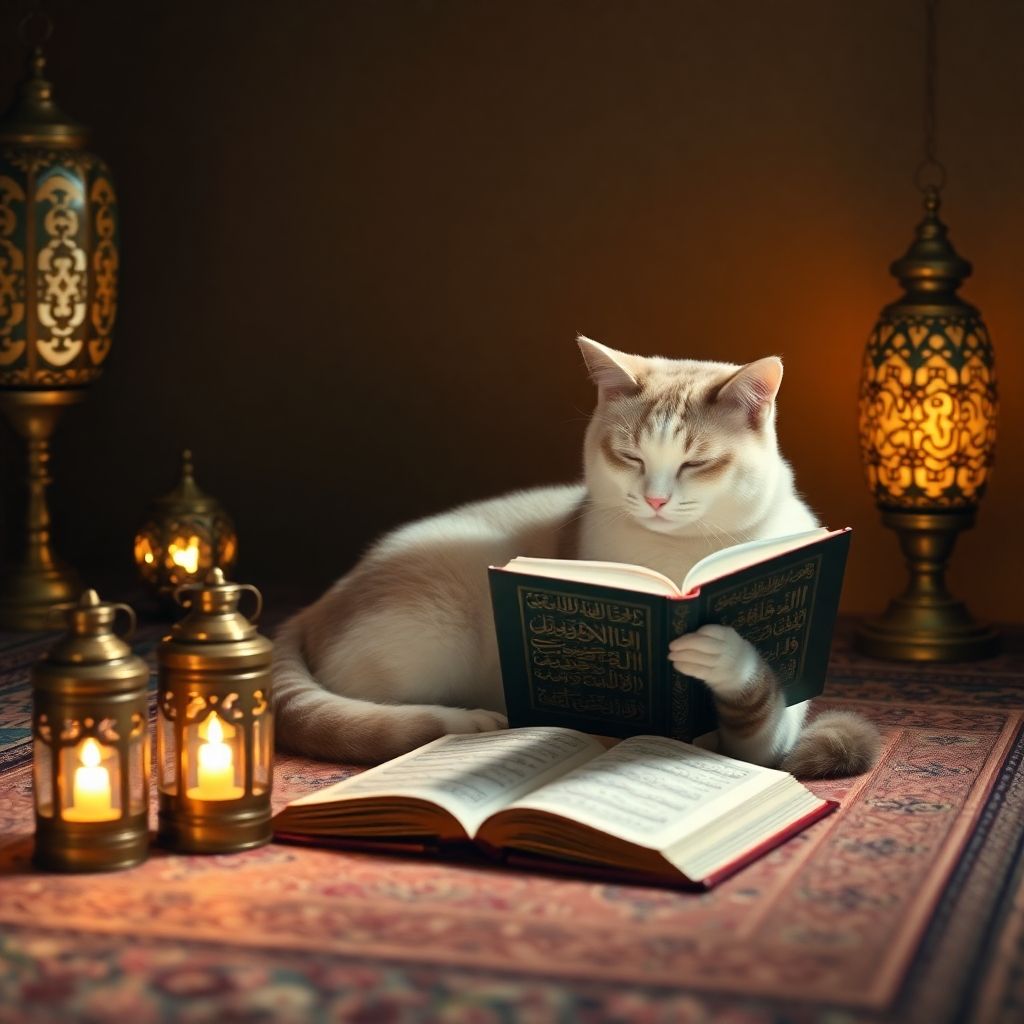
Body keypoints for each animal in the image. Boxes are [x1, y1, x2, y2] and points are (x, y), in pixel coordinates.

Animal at [274, 335, 880, 774]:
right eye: (630, 456)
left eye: (695, 464)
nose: (656, 499)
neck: (676, 558)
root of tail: (319, 603)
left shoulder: (772, 736)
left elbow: (758, 717)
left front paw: (718, 652)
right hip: (432, 642)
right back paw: (471, 721)